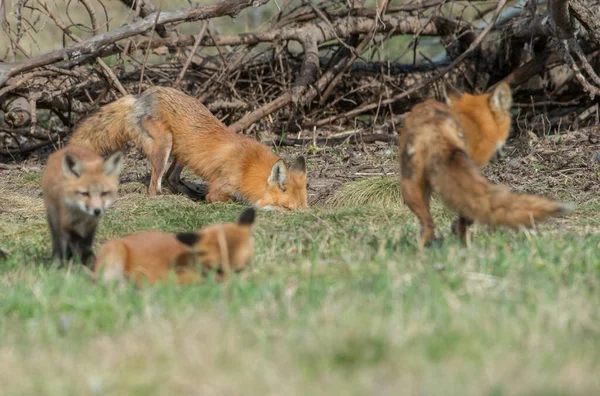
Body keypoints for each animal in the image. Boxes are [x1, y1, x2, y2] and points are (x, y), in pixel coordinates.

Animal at [69, 86, 310, 210]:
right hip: (165, 145)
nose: (304, 216)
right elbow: (224, 199)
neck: (247, 166)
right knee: (154, 187)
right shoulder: (219, 189)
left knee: (171, 178)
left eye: (304, 207)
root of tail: (140, 97)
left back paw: (189, 195)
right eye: (288, 209)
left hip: (183, 151)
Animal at [398, 82, 572, 246]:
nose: (503, 153)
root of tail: (433, 130)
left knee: (427, 225)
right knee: (435, 224)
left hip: (412, 186)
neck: (472, 122)